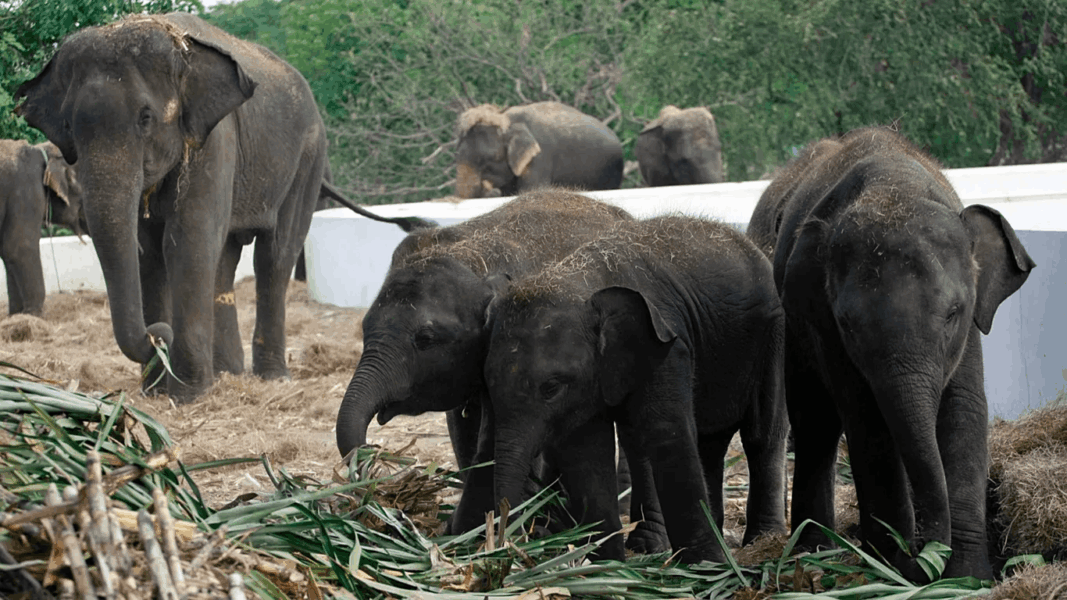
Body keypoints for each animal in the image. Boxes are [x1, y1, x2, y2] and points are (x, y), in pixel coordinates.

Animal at [15, 13, 423, 402]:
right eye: (69, 126)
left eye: (145, 118)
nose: (158, 337)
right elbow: (149, 252)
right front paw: (158, 391)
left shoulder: (214, 140)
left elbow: (186, 242)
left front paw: (188, 395)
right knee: (225, 260)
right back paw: (229, 373)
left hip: (308, 159)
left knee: (275, 255)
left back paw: (271, 377)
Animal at [481, 215, 789, 562]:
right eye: (488, 384)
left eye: (550, 388)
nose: (508, 542)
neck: (578, 279)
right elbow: (587, 454)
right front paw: (606, 565)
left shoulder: (669, 347)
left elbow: (666, 433)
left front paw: (706, 566)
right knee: (707, 440)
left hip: (774, 334)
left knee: (762, 433)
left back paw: (763, 542)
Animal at [748, 126, 1035, 581]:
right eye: (848, 324)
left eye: (954, 313)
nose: (925, 554)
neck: (894, 185)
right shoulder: (824, 326)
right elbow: (868, 421)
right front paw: (893, 567)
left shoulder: (970, 331)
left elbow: (964, 410)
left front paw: (967, 578)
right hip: (793, 333)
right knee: (815, 422)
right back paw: (813, 551)